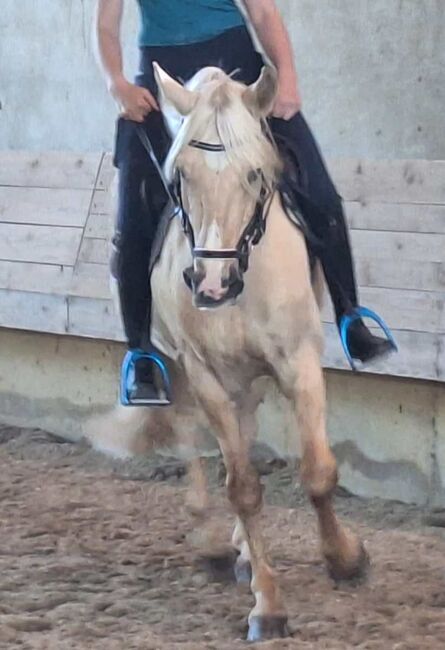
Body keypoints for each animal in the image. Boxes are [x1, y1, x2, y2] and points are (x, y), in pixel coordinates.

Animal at [88, 63, 366, 640]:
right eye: (179, 177)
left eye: (256, 175)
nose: (212, 285)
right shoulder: (205, 372)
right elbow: (241, 486)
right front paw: (268, 605)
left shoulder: (297, 361)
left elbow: (318, 472)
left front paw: (345, 558)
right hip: (174, 366)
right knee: (187, 435)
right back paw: (216, 542)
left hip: (249, 377)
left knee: (243, 427)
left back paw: (238, 549)